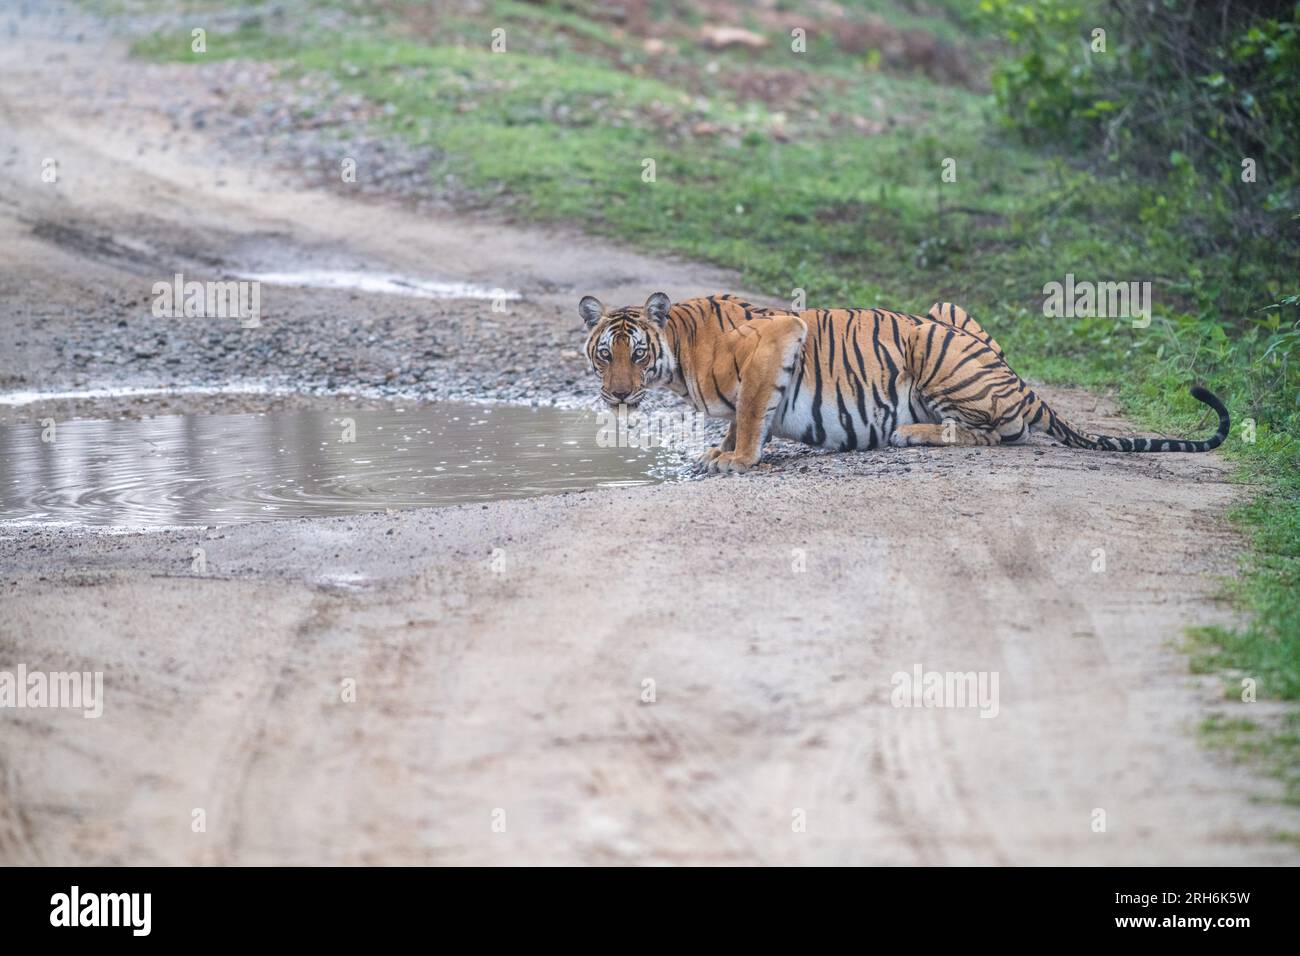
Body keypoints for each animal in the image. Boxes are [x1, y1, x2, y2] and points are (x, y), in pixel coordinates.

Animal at [579, 287, 1227, 476]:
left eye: (637, 353)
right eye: (604, 356)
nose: (618, 394)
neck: (679, 352)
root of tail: (1017, 377)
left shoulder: (781, 334)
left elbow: (751, 410)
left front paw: (734, 459)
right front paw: (720, 450)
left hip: (933, 349)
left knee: (1002, 430)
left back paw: (913, 432)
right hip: (948, 312)